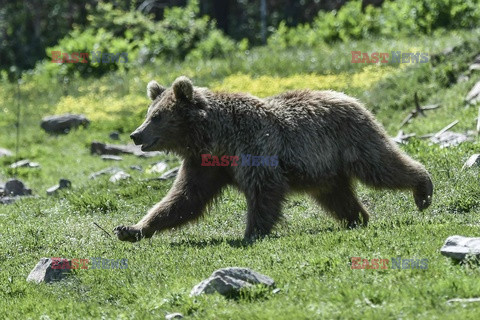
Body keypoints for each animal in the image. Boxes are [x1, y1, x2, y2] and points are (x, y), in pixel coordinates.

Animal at [114, 76, 434, 242]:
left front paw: (251, 233)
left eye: (156, 116)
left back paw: (423, 189)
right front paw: (131, 229)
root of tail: (351, 97)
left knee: (381, 167)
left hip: (351, 140)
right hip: (324, 170)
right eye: (148, 113)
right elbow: (184, 198)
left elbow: (263, 190)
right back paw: (356, 217)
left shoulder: (254, 147)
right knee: (337, 195)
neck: (216, 137)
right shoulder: (204, 163)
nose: (136, 134)